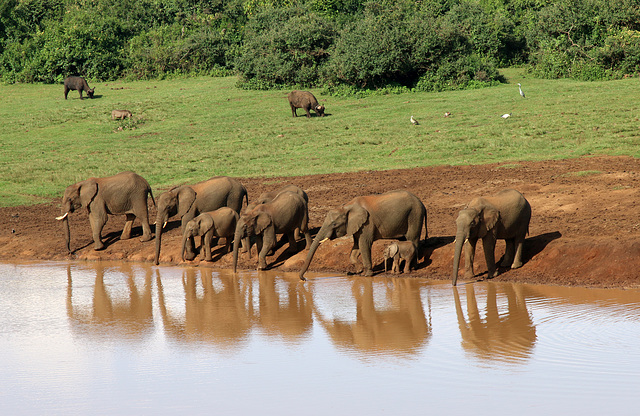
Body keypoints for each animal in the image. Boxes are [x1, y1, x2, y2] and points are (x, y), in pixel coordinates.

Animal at [298, 190, 428, 282]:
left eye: (334, 224)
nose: (304, 279)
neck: (347, 206)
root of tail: (422, 203)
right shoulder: (357, 225)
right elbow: (356, 246)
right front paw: (359, 270)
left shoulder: (367, 223)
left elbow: (364, 244)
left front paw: (367, 275)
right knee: (403, 240)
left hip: (415, 215)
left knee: (412, 239)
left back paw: (413, 268)